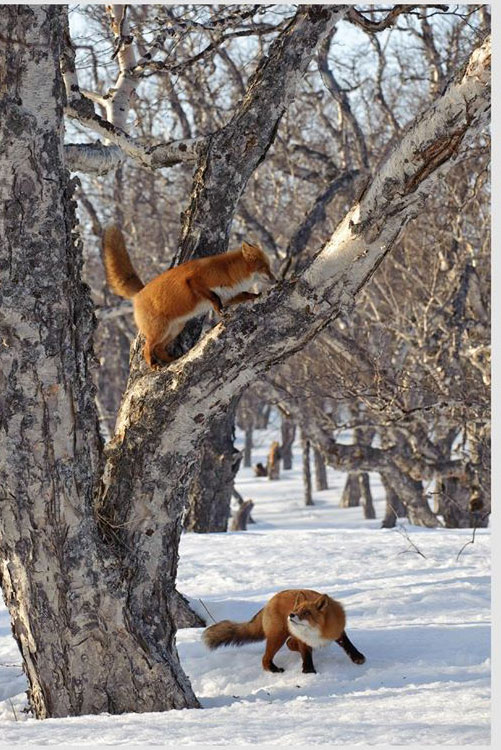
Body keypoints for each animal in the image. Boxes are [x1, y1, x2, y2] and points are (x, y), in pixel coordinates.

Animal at [101, 229, 274, 370]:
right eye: (265, 267)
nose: (276, 279)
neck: (229, 272)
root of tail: (139, 293)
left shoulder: (228, 296)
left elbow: (244, 295)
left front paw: (257, 296)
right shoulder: (195, 281)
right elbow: (214, 299)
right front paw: (221, 313)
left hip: (174, 329)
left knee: (159, 348)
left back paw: (172, 360)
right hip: (159, 330)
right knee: (146, 349)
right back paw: (153, 365)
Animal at [201, 592, 366, 680]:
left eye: (306, 612)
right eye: (296, 609)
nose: (291, 615)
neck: (315, 631)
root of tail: (270, 601)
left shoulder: (336, 630)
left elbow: (347, 644)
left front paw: (357, 657)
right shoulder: (302, 638)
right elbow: (306, 655)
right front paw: (309, 671)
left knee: (289, 644)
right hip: (277, 637)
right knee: (265, 659)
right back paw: (274, 669)